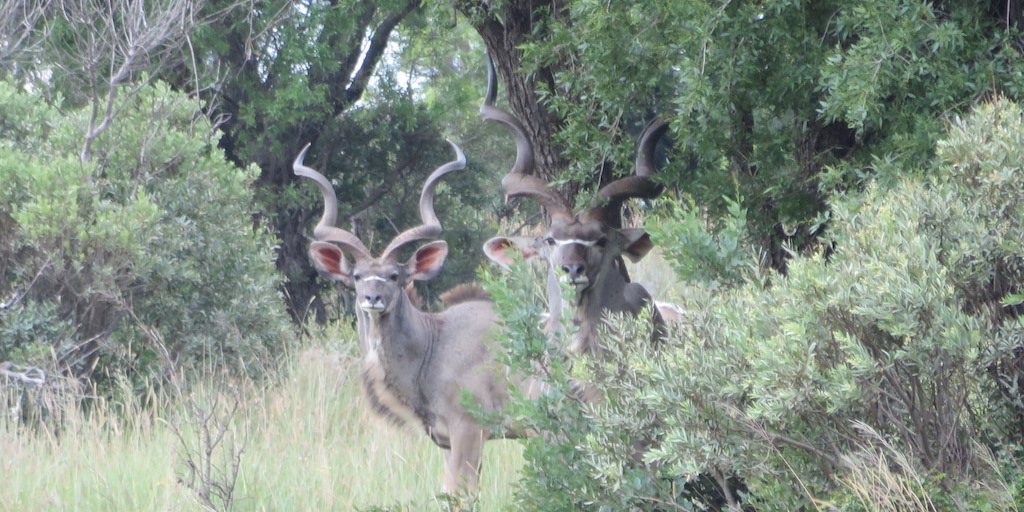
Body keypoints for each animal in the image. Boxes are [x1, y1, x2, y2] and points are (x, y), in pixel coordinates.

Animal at [294, 142, 528, 493]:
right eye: (358, 276)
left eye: (394, 276)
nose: (372, 298)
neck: (435, 343)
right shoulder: (447, 441)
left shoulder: (470, 429)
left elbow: (461, 494)